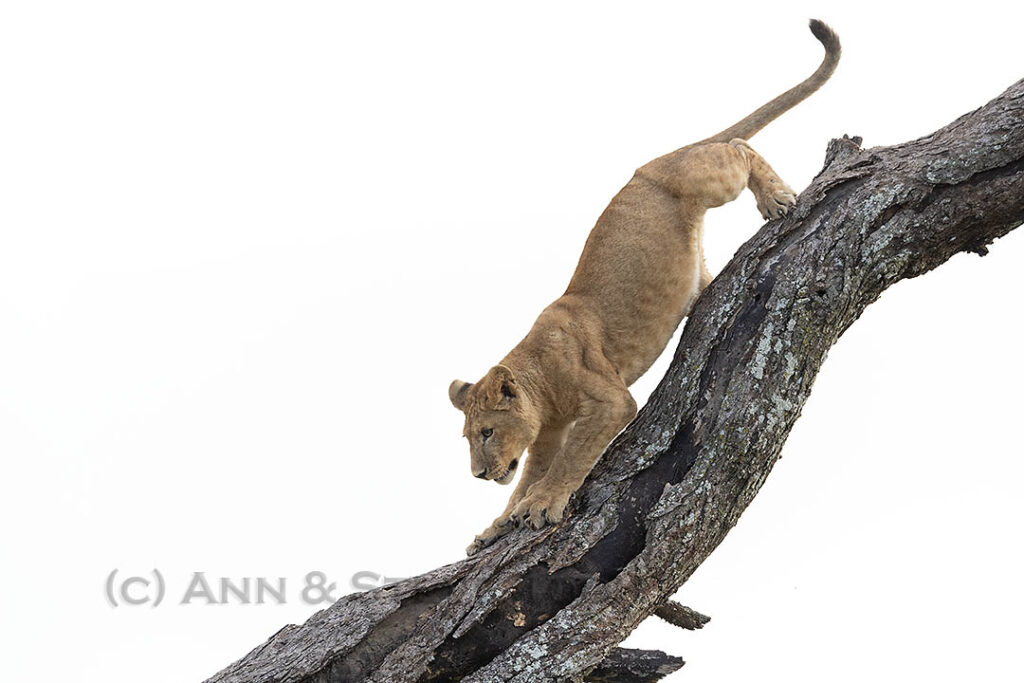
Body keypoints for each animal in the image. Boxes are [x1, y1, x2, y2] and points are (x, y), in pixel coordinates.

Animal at [450, 20, 840, 555]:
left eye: (487, 431)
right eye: (469, 438)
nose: (478, 474)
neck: (539, 381)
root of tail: (660, 158)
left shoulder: (609, 401)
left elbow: (571, 461)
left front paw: (542, 506)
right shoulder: (546, 433)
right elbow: (527, 476)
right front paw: (498, 524)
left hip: (706, 180)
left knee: (740, 147)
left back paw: (776, 198)